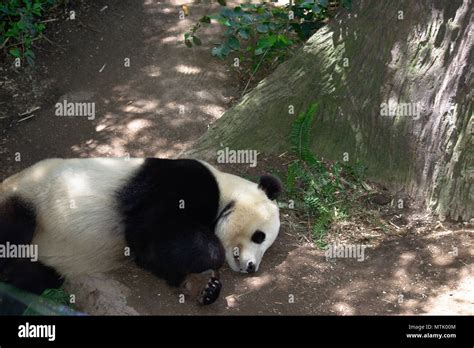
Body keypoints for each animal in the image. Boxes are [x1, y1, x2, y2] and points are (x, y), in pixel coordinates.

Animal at [0, 158, 282, 308]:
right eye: (259, 237)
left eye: (266, 247)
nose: (251, 268)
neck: (225, 191)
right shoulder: (181, 182)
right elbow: (149, 230)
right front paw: (210, 263)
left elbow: (153, 257)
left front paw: (205, 287)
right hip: (28, 198)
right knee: (14, 228)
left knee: (42, 275)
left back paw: (26, 275)